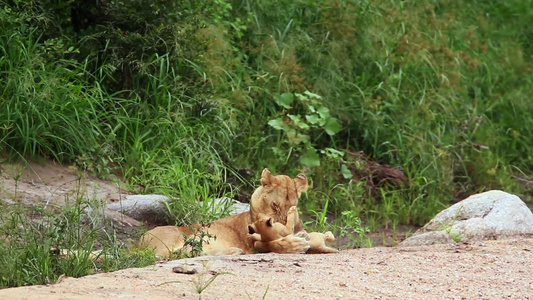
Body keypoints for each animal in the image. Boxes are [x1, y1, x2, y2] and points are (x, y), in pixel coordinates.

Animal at [137, 170, 330, 256]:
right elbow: (271, 244)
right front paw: (295, 244)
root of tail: (137, 243)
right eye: (275, 205)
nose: (283, 229)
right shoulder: (254, 243)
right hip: (169, 240)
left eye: (293, 206)